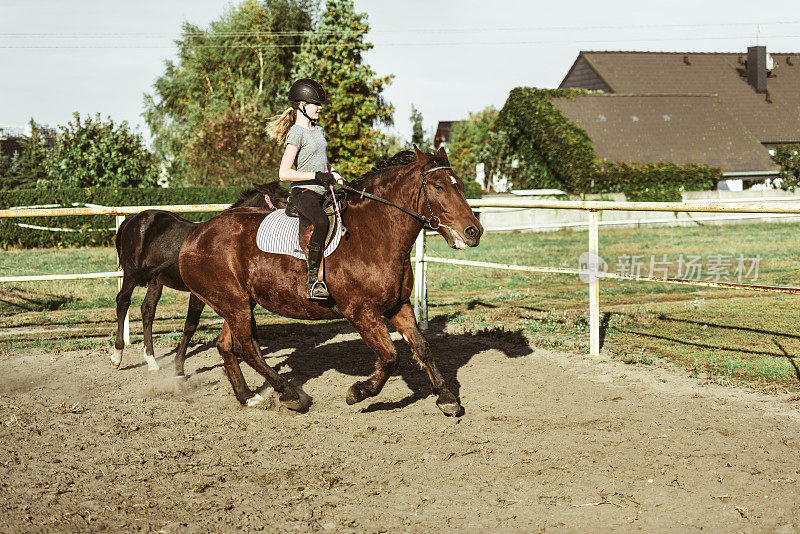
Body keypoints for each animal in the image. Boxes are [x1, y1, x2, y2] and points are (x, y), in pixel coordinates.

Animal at [111, 184, 290, 376]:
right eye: (284, 201)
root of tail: (132, 219)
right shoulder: (198, 294)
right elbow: (191, 324)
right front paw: (179, 368)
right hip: (131, 274)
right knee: (123, 302)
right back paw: (116, 356)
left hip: (156, 280)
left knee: (148, 309)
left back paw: (151, 361)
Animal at [180, 148, 482, 418]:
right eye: (439, 186)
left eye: (459, 184)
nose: (474, 231)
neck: (374, 234)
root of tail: (196, 234)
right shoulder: (361, 312)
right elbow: (390, 357)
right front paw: (358, 392)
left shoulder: (398, 305)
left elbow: (423, 348)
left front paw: (447, 398)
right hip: (235, 305)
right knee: (247, 348)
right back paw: (290, 395)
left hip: (237, 304)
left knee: (226, 346)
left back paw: (248, 396)